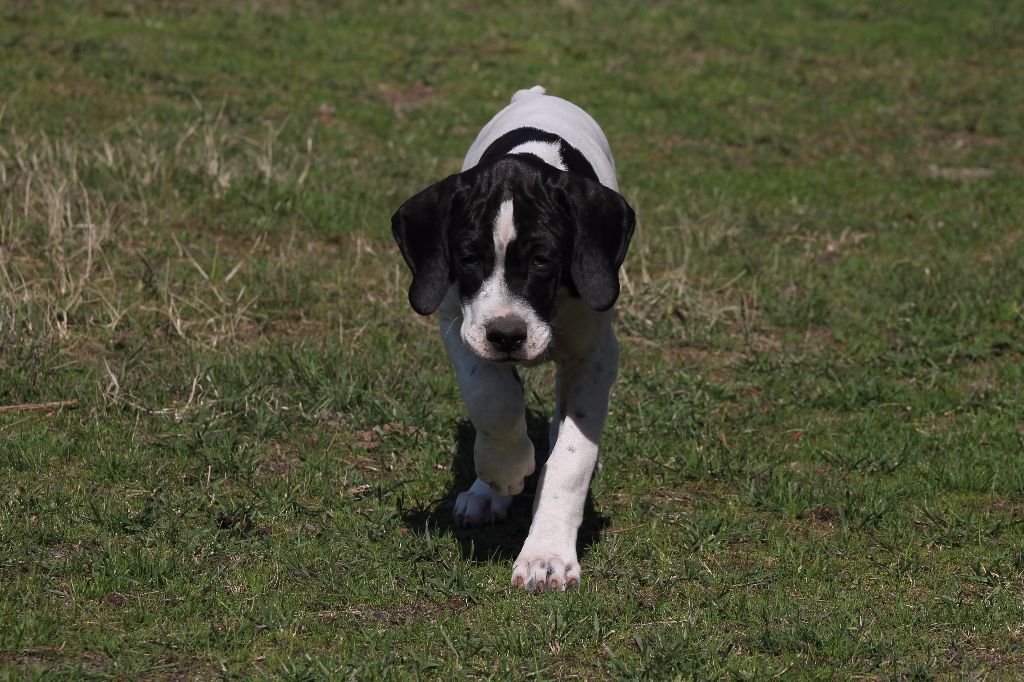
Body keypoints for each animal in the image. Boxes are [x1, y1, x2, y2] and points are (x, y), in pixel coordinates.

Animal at [389, 83, 630, 585]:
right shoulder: (458, 326)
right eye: (468, 258)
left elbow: (571, 456)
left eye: (542, 260)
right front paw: (504, 471)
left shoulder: (596, 355)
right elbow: (493, 402)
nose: (507, 335)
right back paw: (486, 489)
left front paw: (547, 553)